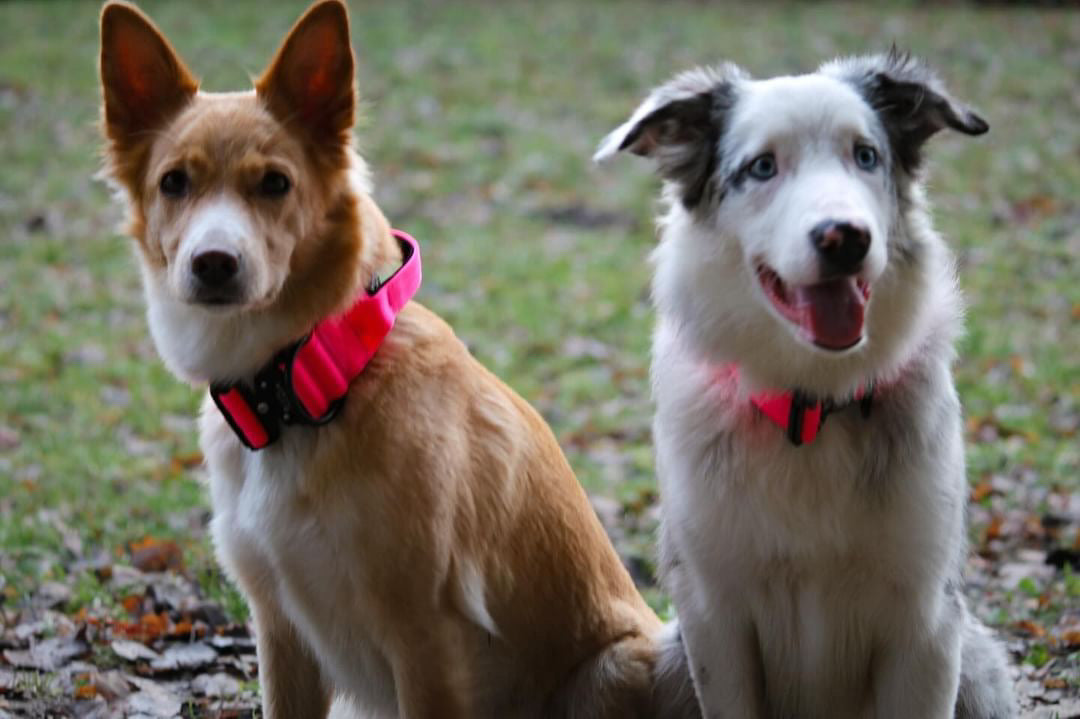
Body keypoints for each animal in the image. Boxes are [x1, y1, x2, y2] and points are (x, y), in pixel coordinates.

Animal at [97, 0, 669, 712]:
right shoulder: (280, 632)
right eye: (174, 183)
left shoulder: (425, 640)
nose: (214, 264)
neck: (312, 380)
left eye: (275, 183)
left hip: (613, 668)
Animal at [600, 51, 1010, 716]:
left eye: (866, 155)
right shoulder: (714, 619)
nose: (845, 237)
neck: (812, 406)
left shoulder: (926, 623)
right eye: (762, 167)